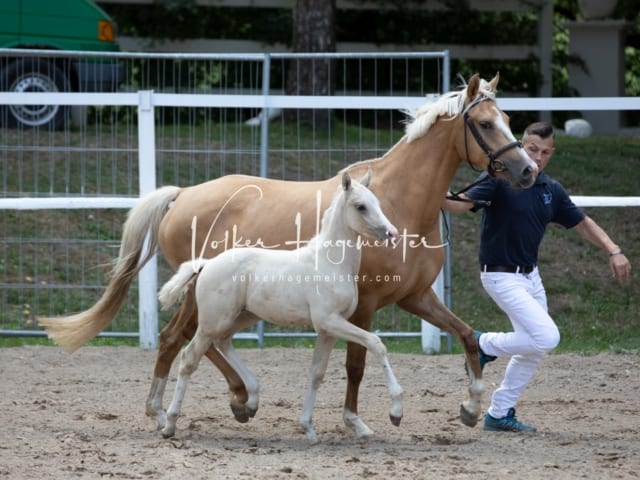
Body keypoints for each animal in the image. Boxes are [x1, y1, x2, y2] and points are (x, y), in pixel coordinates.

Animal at [159, 172, 400, 442]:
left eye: (377, 202)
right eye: (360, 206)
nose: (392, 233)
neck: (329, 263)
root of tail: (206, 264)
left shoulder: (327, 329)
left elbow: (316, 373)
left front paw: (308, 428)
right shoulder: (330, 321)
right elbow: (376, 343)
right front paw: (396, 412)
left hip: (243, 316)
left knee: (223, 341)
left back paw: (251, 402)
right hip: (213, 321)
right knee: (190, 357)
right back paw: (170, 424)